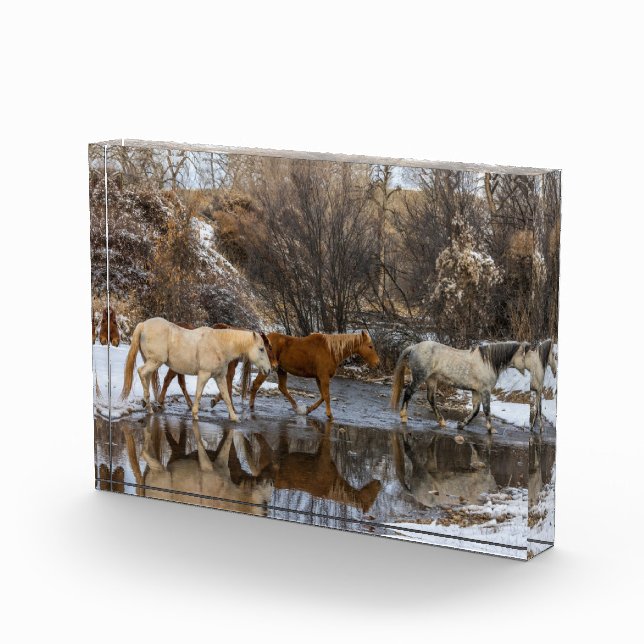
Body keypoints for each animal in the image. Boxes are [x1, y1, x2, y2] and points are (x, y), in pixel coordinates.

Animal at [120, 317, 272, 421]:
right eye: (261, 349)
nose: (269, 370)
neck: (219, 344)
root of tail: (143, 325)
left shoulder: (220, 377)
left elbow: (226, 397)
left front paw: (234, 417)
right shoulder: (204, 374)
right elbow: (199, 394)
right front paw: (195, 415)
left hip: (151, 361)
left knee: (147, 376)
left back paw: (148, 405)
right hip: (155, 361)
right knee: (141, 372)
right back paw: (149, 406)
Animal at [249, 331, 380, 419]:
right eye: (370, 346)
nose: (377, 363)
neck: (331, 351)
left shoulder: (319, 378)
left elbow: (322, 396)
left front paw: (309, 410)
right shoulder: (323, 377)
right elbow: (326, 396)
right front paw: (329, 415)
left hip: (281, 370)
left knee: (282, 388)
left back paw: (297, 408)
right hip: (268, 368)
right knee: (256, 385)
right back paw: (251, 406)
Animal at [390, 340, 528, 433]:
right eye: (524, 355)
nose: (527, 371)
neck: (487, 363)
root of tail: (414, 347)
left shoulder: (476, 391)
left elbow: (476, 410)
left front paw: (461, 424)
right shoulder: (485, 390)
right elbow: (486, 409)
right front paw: (491, 429)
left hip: (432, 379)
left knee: (431, 399)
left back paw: (442, 422)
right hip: (420, 377)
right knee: (409, 392)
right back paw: (403, 417)